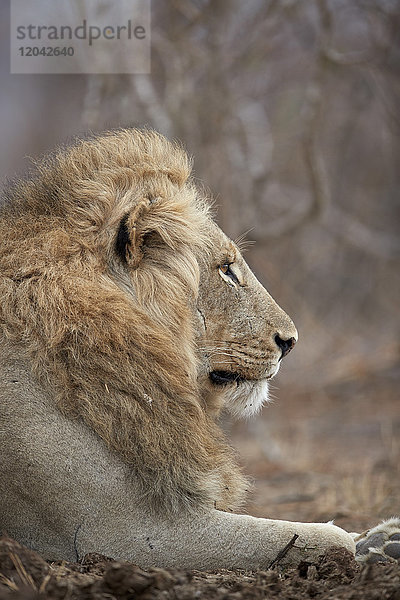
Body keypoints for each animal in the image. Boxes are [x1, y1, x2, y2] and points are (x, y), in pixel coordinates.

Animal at [0, 129, 396, 568]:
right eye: (226, 269)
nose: (290, 342)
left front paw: (384, 539)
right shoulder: (114, 532)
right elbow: (314, 537)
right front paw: (355, 544)